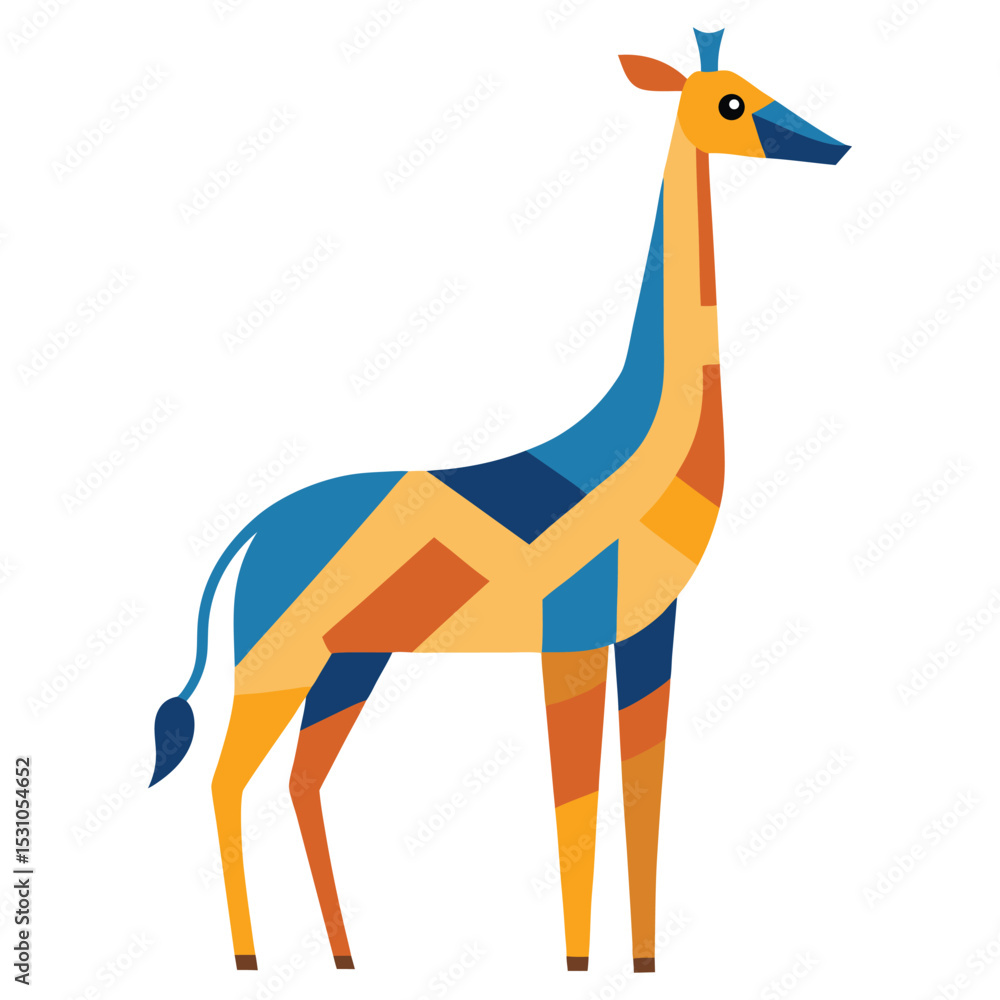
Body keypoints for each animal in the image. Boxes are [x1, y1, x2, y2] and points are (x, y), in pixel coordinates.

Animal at [148, 27, 848, 974]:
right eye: (731, 103)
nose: (833, 147)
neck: (637, 454)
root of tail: (254, 532)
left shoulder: (652, 630)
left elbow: (644, 792)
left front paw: (644, 963)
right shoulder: (572, 638)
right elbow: (575, 802)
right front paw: (578, 964)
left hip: (351, 661)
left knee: (300, 779)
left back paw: (346, 955)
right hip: (274, 658)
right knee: (228, 779)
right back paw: (251, 958)